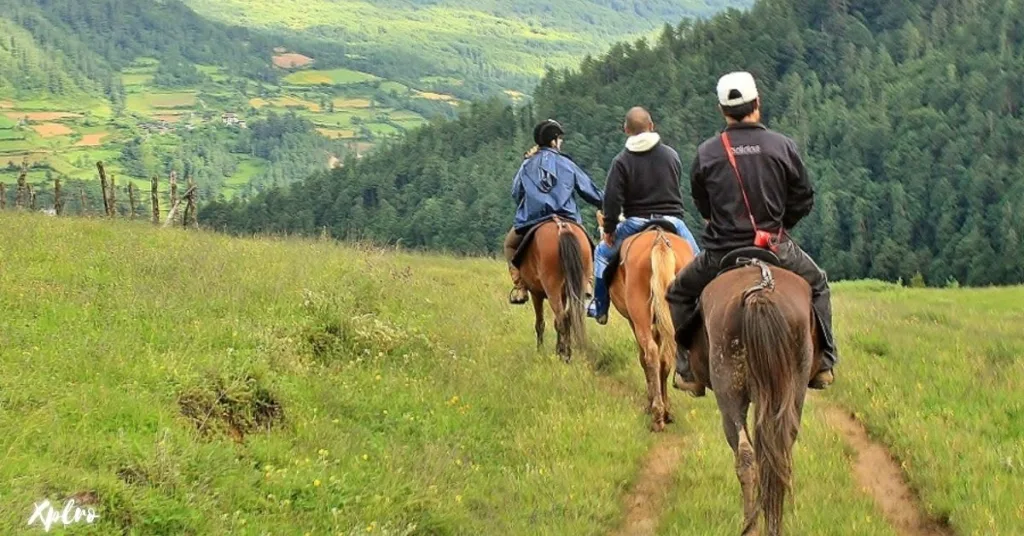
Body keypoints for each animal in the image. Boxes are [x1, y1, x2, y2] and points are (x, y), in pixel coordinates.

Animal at [520, 217, 593, 360]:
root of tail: (561, 226)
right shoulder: (563, 295)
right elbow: (555, 322)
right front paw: (558, 348)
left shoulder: (536, 293)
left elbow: (540, 323)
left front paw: (540, 351)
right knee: (568, 317)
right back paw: (565, 352)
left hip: (551, 289)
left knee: (562, 319)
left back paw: (565, 355)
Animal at [606, 222, 696, 432]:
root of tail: (660, 241)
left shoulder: (634, 321)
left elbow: (642, 357)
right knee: (666, 356)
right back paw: (665, 411)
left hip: (640, 315)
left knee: (651, 353)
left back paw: (656, 413)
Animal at [688, 258, 823, 532]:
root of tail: (760, 292)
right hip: (791, 394)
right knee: (778, 455)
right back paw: (772, 525)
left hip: (729, 396)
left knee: (745, 455)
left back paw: (750, 526)